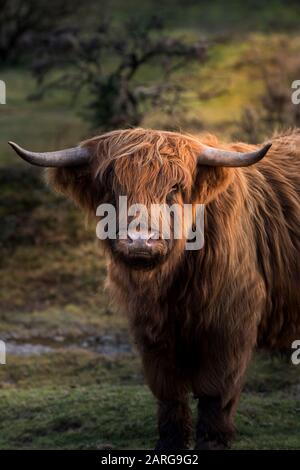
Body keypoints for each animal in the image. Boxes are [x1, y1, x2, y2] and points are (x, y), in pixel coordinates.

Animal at [9, 127, 300, 448]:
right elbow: (168, 392)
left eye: (174, 188)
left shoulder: (228, 327)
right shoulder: (149, 332)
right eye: (112, 189)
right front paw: (170, 442)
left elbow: (215, 392)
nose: (140, 240)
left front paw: (212, 441)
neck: (168, 286)